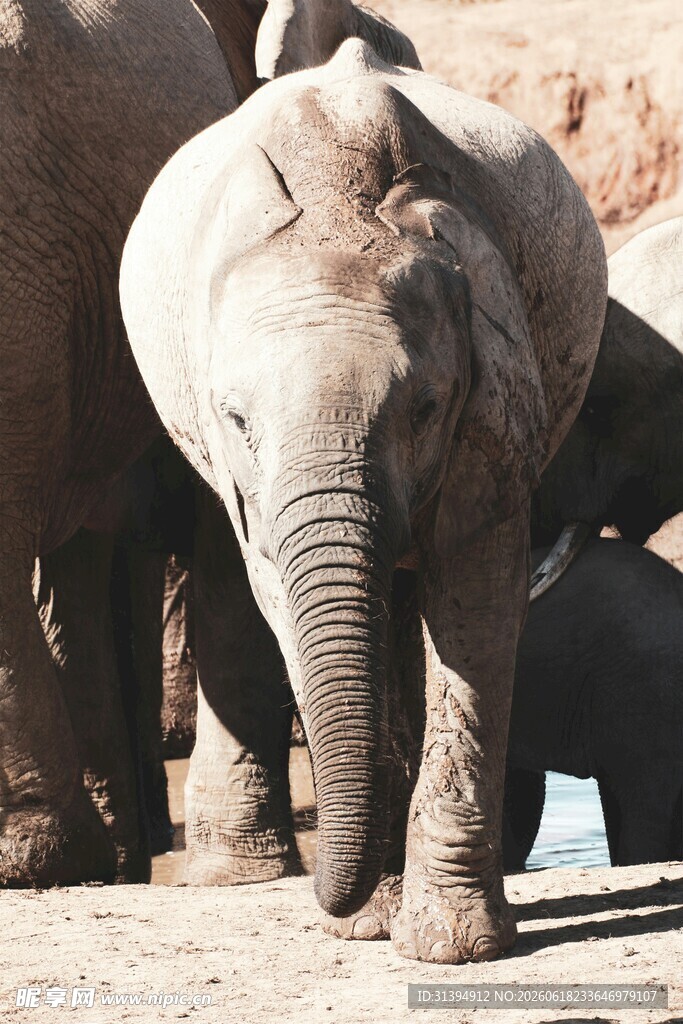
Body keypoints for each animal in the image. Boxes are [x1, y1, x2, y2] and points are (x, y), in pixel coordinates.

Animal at [120, 40, 606, 962]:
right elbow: (283, 590)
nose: (325, 897)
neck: (335, 196)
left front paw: (450, 948)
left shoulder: (492, 385)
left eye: (423, 407)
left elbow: (475, 597)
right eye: (236, 420)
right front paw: (374, 922)